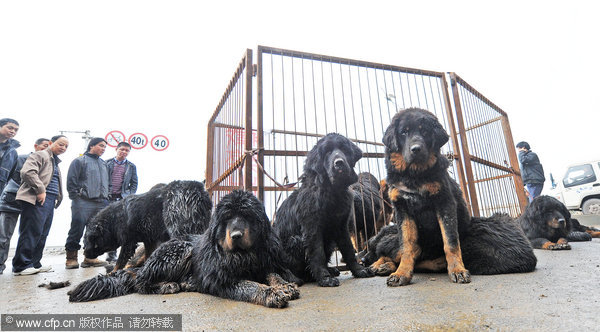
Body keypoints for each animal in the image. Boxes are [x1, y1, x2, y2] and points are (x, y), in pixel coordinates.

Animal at [68, 191, 302, 310]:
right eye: (227, 218)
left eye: (247, 216)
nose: (236, 235)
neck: (243, 256)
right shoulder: (221, 279)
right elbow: (250, 285)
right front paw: (271, 293)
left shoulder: (262, 263)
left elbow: (272, 273)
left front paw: (283, 285)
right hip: (180, 249)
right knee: (140, 281)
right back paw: (167, 285)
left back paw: (187, 282)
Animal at [83, 180, 212, 272]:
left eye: (90, 240)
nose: (84, 252)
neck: (113, 220)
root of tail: (199, 191)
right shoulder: (149, 240)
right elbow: (147, 256)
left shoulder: (128, 242)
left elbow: (120, 261)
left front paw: (113, 273)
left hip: (179, 228)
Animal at [274, 134, 376, 286]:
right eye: (327, 152)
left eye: (344, 149)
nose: (339, 163)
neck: (332, 191)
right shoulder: (312, 228)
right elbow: (317, 254)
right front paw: (324, 278)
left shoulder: (341, 226)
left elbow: (348, 250)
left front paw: (358, 270)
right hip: (295, 240)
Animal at [382, 108, 472, 286]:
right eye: (404, 132)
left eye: (425, 131)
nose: (416, 149)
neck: (414, 175)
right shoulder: (402, 209)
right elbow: (407, 246)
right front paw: (402, 273)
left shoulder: (445, 203)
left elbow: (450, 241)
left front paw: (457, 270)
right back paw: (380, 266)